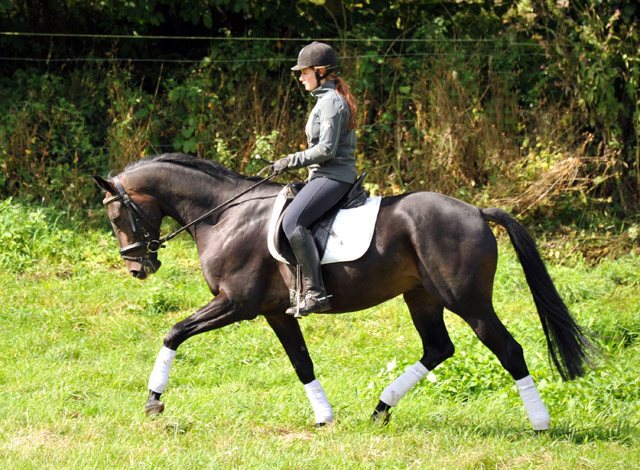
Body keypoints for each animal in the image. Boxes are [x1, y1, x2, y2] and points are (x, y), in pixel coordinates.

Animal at [92, 153, 592, 430]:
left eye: (116, 216)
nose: (138, 267)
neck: (223, 215)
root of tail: (475, 210)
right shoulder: (274, 312)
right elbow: (302, 363)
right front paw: (324, 417)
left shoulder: (236, 303)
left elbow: (174, 332)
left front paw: (153, 401)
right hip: (422, 297)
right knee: (437, 348)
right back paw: (380, 411)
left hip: (468, 302)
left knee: (508, 350)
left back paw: (541, 424)